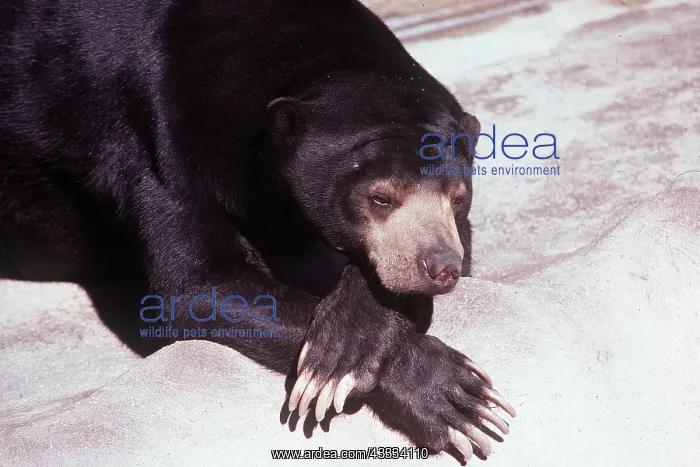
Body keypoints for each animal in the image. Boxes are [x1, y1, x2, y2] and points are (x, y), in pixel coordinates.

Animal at [0, 0, 515, 459]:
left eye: (458, 197)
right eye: (381, 198)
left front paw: (349, 341)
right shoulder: (157, 145)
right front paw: (450, 395)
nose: (441, 269)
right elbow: (198, 284)